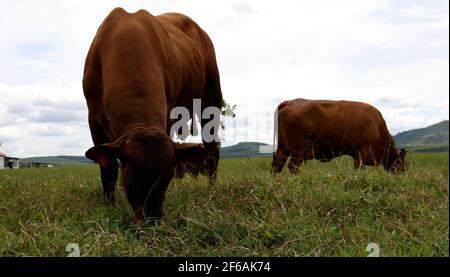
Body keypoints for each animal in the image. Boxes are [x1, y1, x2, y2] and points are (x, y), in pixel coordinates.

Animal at [82, 7, 223, 221]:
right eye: (130, 176)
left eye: (167, 177)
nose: (152, 217)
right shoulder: (94, 120)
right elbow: (108, 169)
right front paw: (109, 206)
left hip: (211, 97)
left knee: (212, 148)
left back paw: (211, 191)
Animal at [270, 98, 408, 172]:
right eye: (402, 165)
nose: (402, 175)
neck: (378, 125)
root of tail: (289, 102)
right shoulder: (363, 149)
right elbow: (358, 169)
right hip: (297, 150)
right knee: (292, 167)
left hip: (283, 148)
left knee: (277, 165)